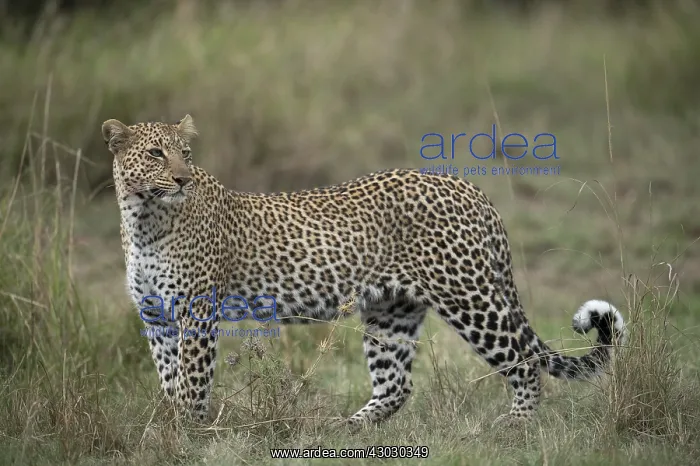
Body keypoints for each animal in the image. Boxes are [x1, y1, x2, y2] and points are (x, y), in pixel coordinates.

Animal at [101, 114, 627, 429]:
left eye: (184, 154)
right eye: (155, 154)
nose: (182, 178)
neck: (143, 217)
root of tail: (470, 188)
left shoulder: (196, 310)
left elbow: (191, 378)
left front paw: (187, 431)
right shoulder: (156, 315)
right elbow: (169, 375)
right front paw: (167, 424)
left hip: (468, 296)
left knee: (524, 361)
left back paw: (515, 425)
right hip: (391, 309)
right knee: (396, 384)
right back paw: (345, 430)